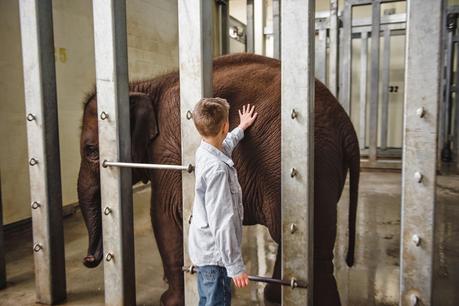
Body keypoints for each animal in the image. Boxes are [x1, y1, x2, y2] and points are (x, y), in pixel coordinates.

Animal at [78, 53, 360, 306]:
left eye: (91, 151)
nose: (88, 260)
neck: (146, 85)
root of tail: (347, 126)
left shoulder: (167, 149)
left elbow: (164, 215)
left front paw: (168, 301)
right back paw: (272, 297)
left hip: (314, 163)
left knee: (313, 250)